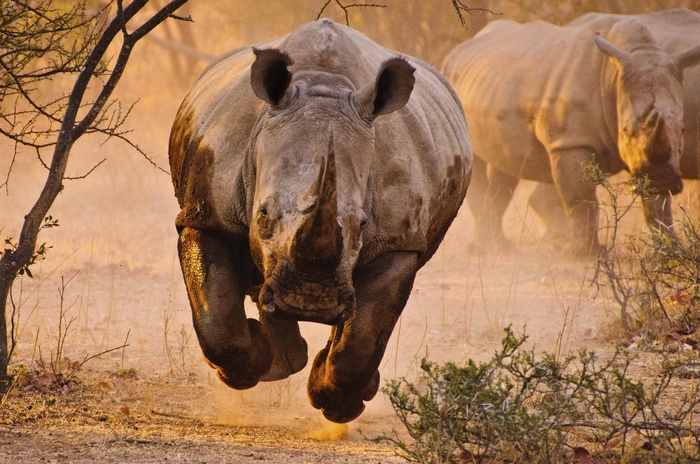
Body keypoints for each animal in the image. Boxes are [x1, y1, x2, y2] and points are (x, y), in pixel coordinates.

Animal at [169, 19, 472, 423]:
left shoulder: (399, 241)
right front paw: (248, 368)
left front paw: (337, 403)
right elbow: (218, 324)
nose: (309, 300)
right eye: (262, 215)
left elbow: (363, 337)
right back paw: (280, 362)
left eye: (362, 225)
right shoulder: (206, 215)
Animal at [441, 11, 700, 255]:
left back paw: (500, 248)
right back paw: (488, 250)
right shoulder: (570, 141)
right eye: (626, 129)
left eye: (682, 129)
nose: (663, 178)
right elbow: (581, 199)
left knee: (504, 167)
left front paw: (673, 251)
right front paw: (585, 255)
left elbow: (658, 205)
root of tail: (457, 50)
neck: (613, 77)